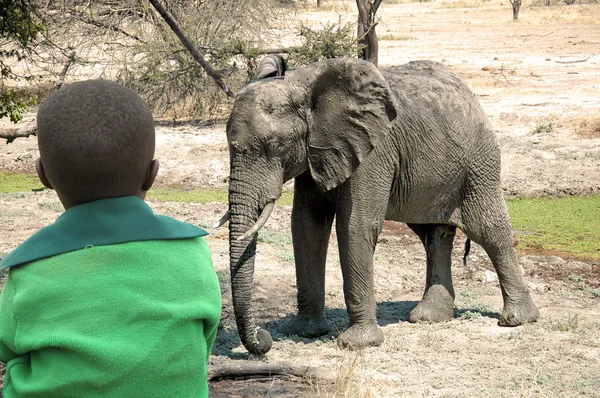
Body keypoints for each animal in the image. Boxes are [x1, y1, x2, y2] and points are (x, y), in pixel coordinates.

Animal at [223, 56, 540, 354]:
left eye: (275, 146)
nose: (264, 337)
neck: (303, 84)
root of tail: (470, 94)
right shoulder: (316, 152)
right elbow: (306, 225)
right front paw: (304, 332)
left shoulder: (372, 150)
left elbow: (355, 226)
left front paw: (357, 344)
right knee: (434, 235)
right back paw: (429, 317)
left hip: (479, 162)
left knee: (488, 230)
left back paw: (517, 319)